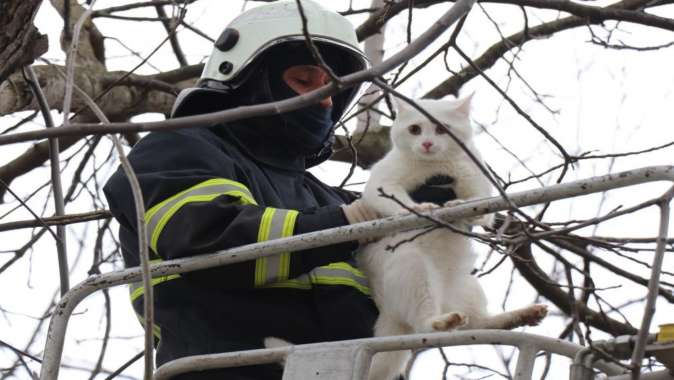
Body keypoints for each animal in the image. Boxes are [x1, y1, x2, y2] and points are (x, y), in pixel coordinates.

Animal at [356, 95, 544, 380]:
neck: (436, 166)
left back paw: (522, 315)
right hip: (412, 267)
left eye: (441, 128)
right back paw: (442, 320)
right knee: (424, 325)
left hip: (468, 285)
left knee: (479, 324)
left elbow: (480, 205)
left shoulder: (477, 181)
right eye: (415, 129)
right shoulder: (382, 182)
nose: (427, 143)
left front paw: (461, 206)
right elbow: (393, 198)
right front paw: (419, 208)